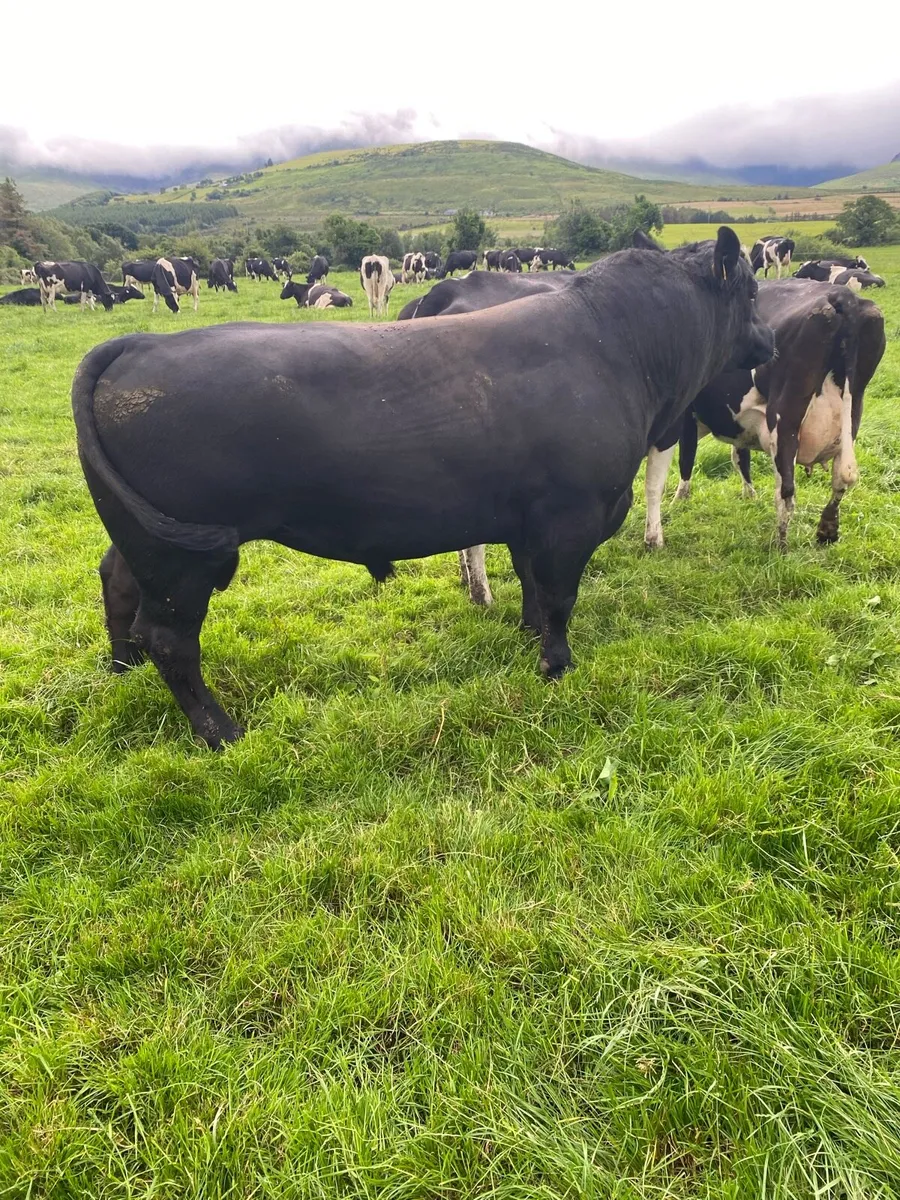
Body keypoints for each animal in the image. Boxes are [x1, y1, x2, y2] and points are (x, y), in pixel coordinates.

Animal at [71, 226, 772, 748]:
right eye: (751, 291)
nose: (767, 341)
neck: (616, 345)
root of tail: (136, 344)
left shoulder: (525, 517)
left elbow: (533, 589)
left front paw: (526, 639)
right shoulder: (568, 517)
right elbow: (559, 597)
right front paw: (556, 666)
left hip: (145, 540)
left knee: (118, 584)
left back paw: (121, 668)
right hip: (182, 560)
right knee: (171, 639)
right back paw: (220, 731)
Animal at [646, 280, 885, 550]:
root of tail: (842, 295)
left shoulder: (685, 417)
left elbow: (687, 459)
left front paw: (679, 501)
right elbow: (740, 457)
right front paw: (749, 496)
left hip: (784, 418)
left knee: (787, 489)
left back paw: (780, 544)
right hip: (852, 413)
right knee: (842, 478)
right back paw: (826, 531)